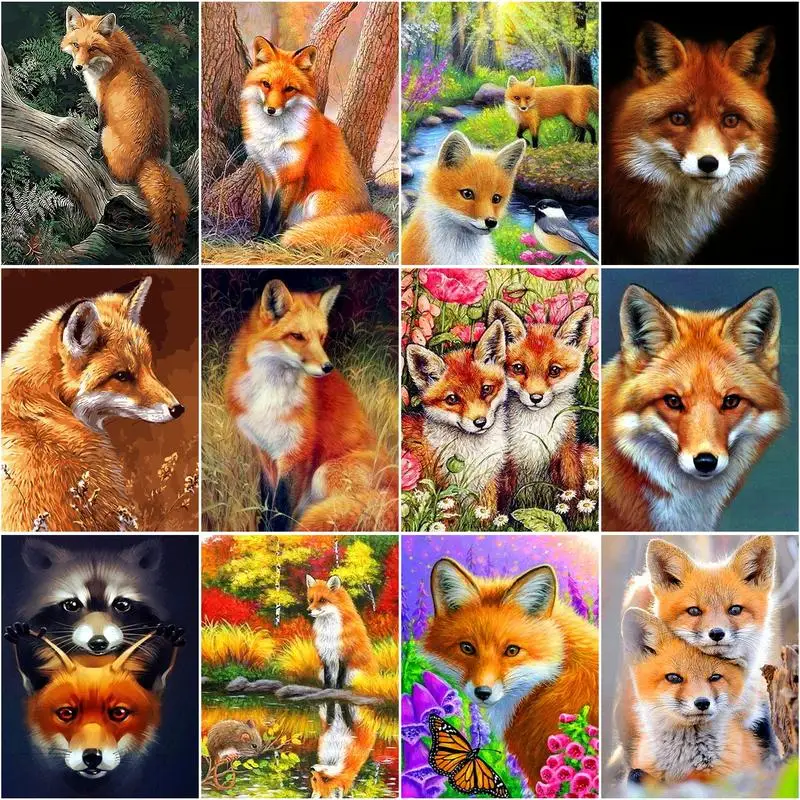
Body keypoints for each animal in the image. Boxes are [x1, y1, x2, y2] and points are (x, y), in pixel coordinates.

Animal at [61, 8, 190, 264]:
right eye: (76, 45)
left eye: (93, 48)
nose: (78, 67)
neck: (116, 60)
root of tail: (150, 157)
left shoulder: (103, 105)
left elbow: (98, 127)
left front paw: (94, 150)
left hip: (110, 136)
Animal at [225, 279, 396, 532]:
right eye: (297, 336)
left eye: (321, 337)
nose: (327, 367)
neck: (271, 395)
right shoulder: (265, 452)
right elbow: (267, 505)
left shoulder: (297, 452)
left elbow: (281, 510)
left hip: (325, 472)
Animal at [240, 37, 393, 253]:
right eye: (266, 84)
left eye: (289, 89)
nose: (271, 110)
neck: (272, 136)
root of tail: (371, 212)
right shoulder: (266, 173)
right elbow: (265, 211)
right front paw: (258, 235)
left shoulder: (291, 176)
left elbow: (276, 214)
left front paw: (266, 240)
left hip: (316, 199)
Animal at [403, 320, 508, 512]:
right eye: (452, 399)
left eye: (486, 389)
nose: (480, 422)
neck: (473, 454)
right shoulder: (446, 489)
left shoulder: (485, 486)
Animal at [488, 300, 597, 501]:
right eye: (519, 368)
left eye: (554, 370)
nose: (536, 398)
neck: (536, 430)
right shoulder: (508, 461)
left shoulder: (566, 452)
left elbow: (572, 491)